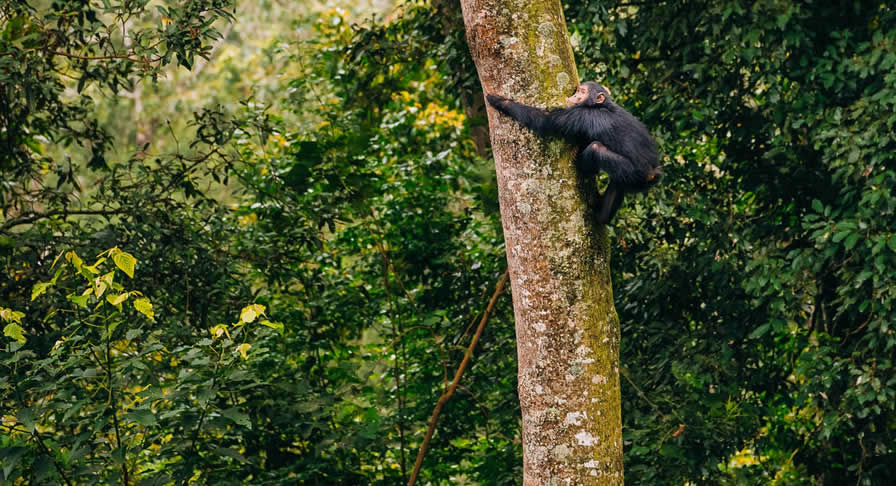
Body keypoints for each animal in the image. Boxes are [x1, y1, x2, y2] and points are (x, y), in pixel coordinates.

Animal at [486, 82, 660, 225]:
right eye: (578, 90)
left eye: (582, 92)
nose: (575, 95)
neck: (602, 105)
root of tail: (653, 173)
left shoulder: (579, 114)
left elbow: (545, 121)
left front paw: (500, 101)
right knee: (617, 185)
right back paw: (601, 215)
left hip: (632, 172)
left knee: (596, 148)